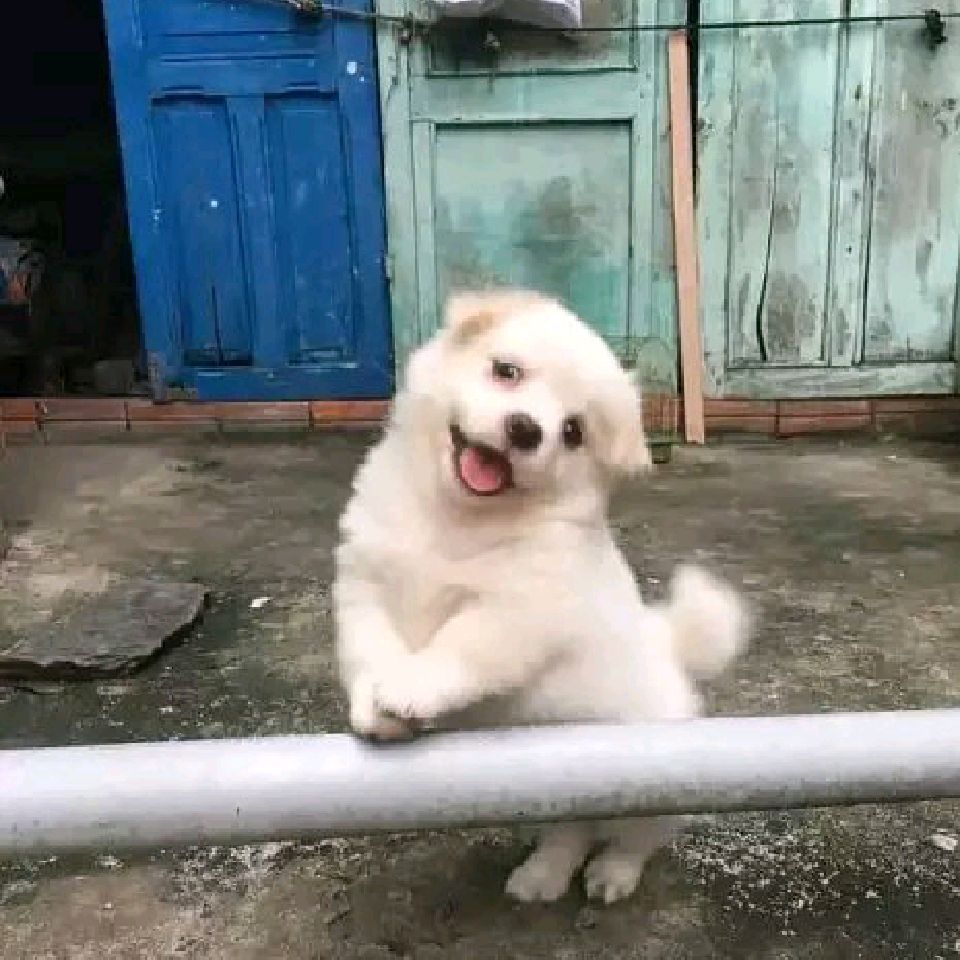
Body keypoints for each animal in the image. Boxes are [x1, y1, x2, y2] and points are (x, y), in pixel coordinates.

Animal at [334, 290, 748, 904]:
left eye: (573, 431)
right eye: (507, 372)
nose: (526, 429)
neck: (455, 521)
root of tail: (669, 650)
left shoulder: (518, 609)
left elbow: (459, 646)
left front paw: (409, 689)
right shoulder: (366, 585)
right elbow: (371, 648)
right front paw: (378, 713)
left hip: (650, 785)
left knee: (635, 838)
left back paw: (612, 875)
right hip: (542, 787)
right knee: (569, 833)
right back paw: (543, 876)